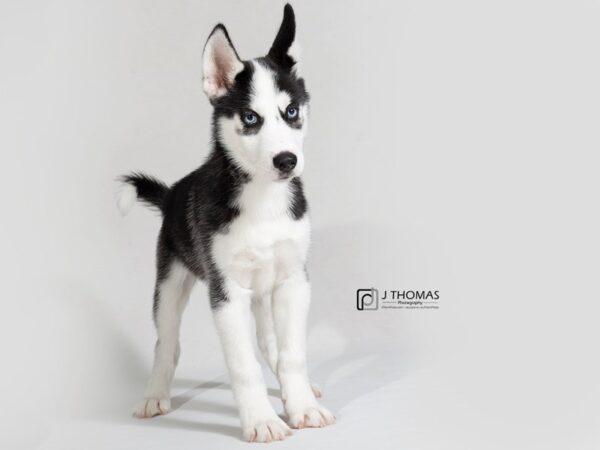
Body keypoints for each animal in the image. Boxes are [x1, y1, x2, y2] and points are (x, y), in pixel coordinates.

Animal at [116, 3, 332, 442]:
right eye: (250, 118)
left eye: (291, 112)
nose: (287, 161)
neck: (263, 199)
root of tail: (172, 193)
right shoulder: (226, 292)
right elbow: (243, 365)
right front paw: (262, 420)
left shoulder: (293, 281)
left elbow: (292, 354)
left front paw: (301, 406)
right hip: (169, 283)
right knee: (167, 344)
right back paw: (154, 396)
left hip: (265, 292)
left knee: (269, 343)